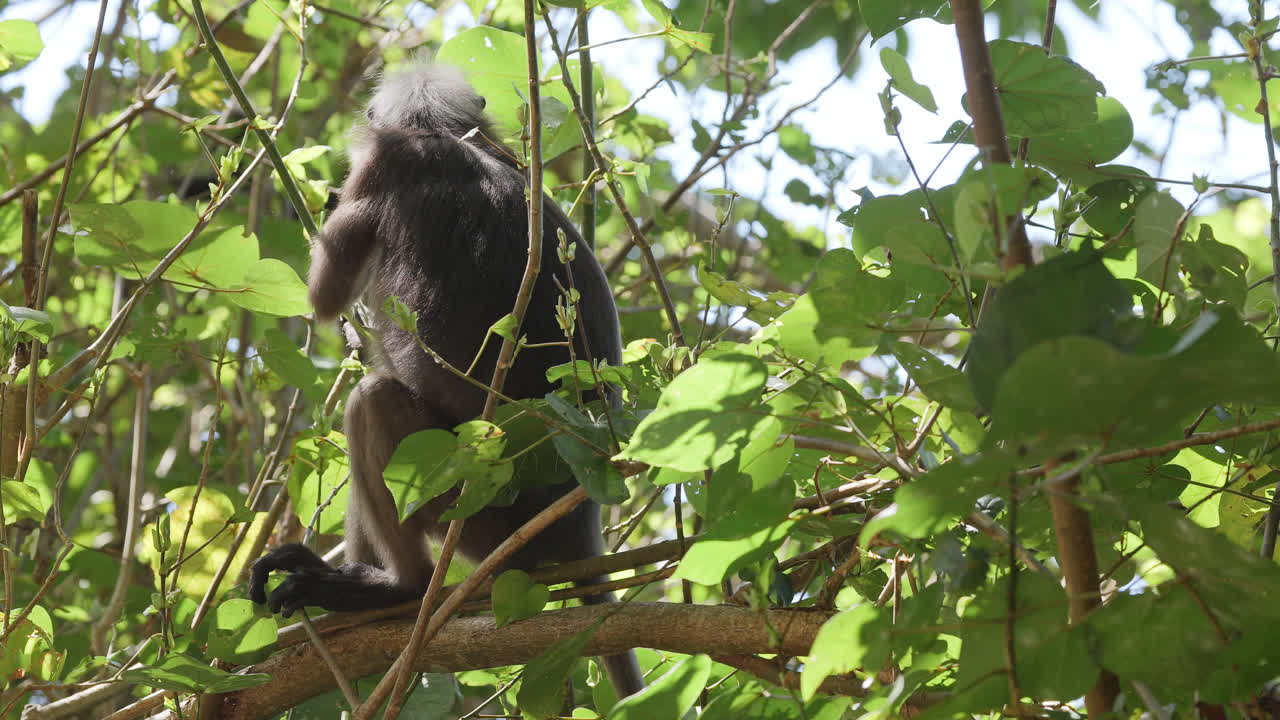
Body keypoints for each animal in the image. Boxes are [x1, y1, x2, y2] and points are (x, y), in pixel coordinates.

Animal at [247, 62, 644, 697]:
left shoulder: (382, 164)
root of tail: (579, 527)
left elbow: (325, 296)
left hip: (476, 517)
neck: (451, 140)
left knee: (373, 402)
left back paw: (400, 588)